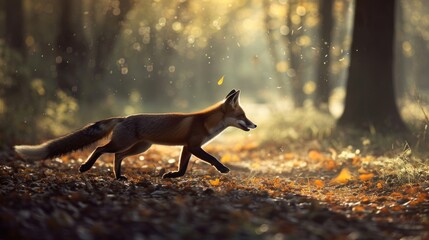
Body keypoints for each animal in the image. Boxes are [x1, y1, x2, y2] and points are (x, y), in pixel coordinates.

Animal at [15, 90, 256, 180]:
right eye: (243, 115)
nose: (254, 125)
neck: (206, 123)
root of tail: (123, 117)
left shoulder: (187, 147)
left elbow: (182, 169)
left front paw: (172, 176)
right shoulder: (194, 146)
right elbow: (212, 158)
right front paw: (223, 168)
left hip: (140, 147)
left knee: (117, 156)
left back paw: (118, 176)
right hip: (124, 143)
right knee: (100, 149)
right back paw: (86, 167)